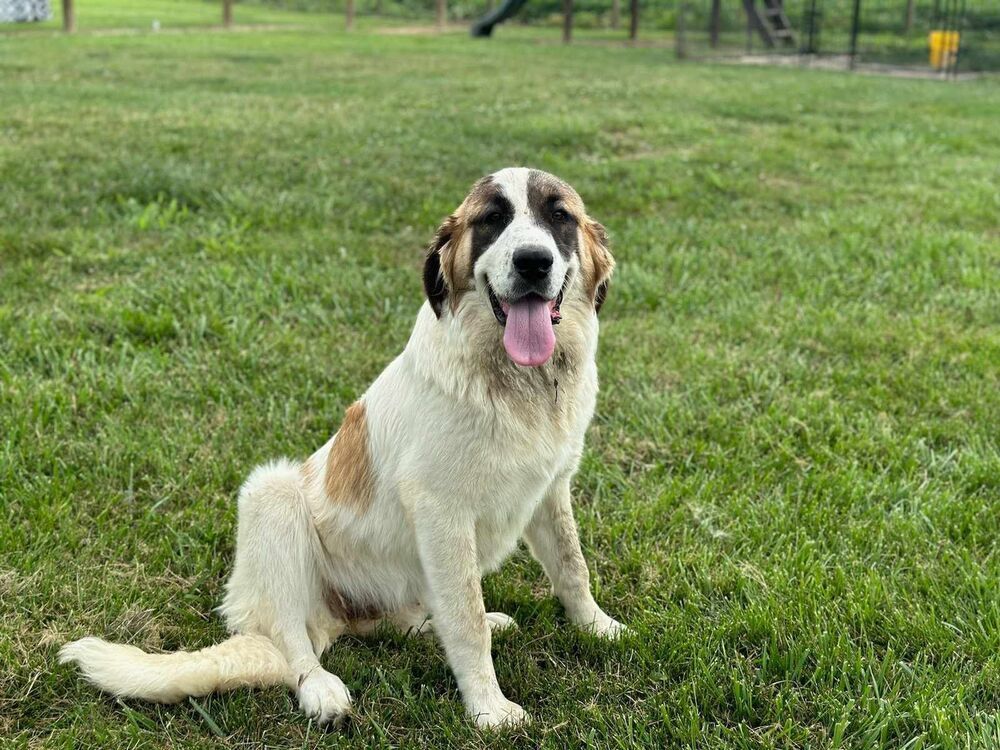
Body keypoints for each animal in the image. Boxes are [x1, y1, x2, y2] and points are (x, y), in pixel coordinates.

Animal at [58, 167, 624, 732]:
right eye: (492, 219)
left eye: (559, 216)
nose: (533, 261)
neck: (519, 384)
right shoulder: (441, 512)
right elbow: (465, 622)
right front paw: (488, 708)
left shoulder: (550, 489)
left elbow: (571, 567)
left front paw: (597, 627)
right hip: (271, 495)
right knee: (293, 643)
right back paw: (320, 689)